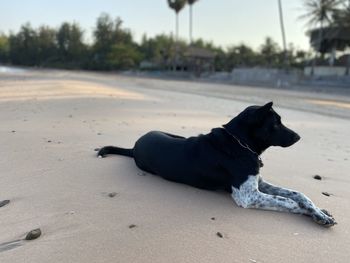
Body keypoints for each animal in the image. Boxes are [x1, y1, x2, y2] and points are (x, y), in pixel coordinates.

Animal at [97, 102, 334, 227]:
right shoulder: (248, 196)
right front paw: (310, 213)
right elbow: (289, 201)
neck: (240, 142)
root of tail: (134, 145)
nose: (299, 137)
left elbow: (297, 194)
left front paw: (318, 211)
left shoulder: (258, 184)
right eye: (276, 123)